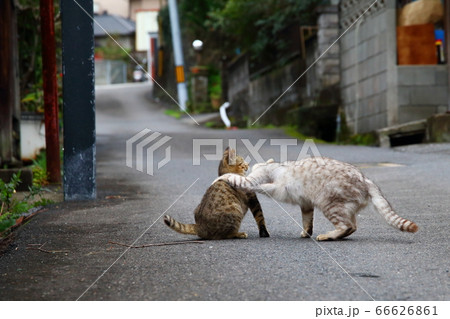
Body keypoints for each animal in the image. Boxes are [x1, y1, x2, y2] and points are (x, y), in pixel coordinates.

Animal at [214, 156, 418, 241]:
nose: (247, 168)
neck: (276, 168)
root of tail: (366, 179)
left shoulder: (258, 182)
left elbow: (238, 180)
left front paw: (221, 178)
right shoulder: (306, 203)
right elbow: (307, 221)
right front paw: (306, 232)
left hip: (329, 203)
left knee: (347, 226)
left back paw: (328, 236)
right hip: (341, 206)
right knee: (352, 226)